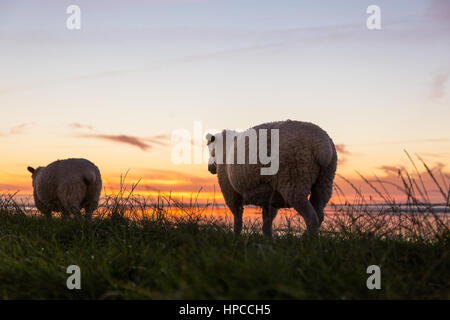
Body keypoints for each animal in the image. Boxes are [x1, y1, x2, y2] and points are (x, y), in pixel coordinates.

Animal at [206, 119, 336, 238]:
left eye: (211, 151)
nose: (209, 168)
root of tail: (321, 144)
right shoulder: (270, 198)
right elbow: (266, 226)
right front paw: (270, 243)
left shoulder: (230, 192)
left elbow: (238, 221)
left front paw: (235, 240)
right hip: (324, 181)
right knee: (319, 213)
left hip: (295, 180)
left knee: (311, 217)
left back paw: (309, 241)